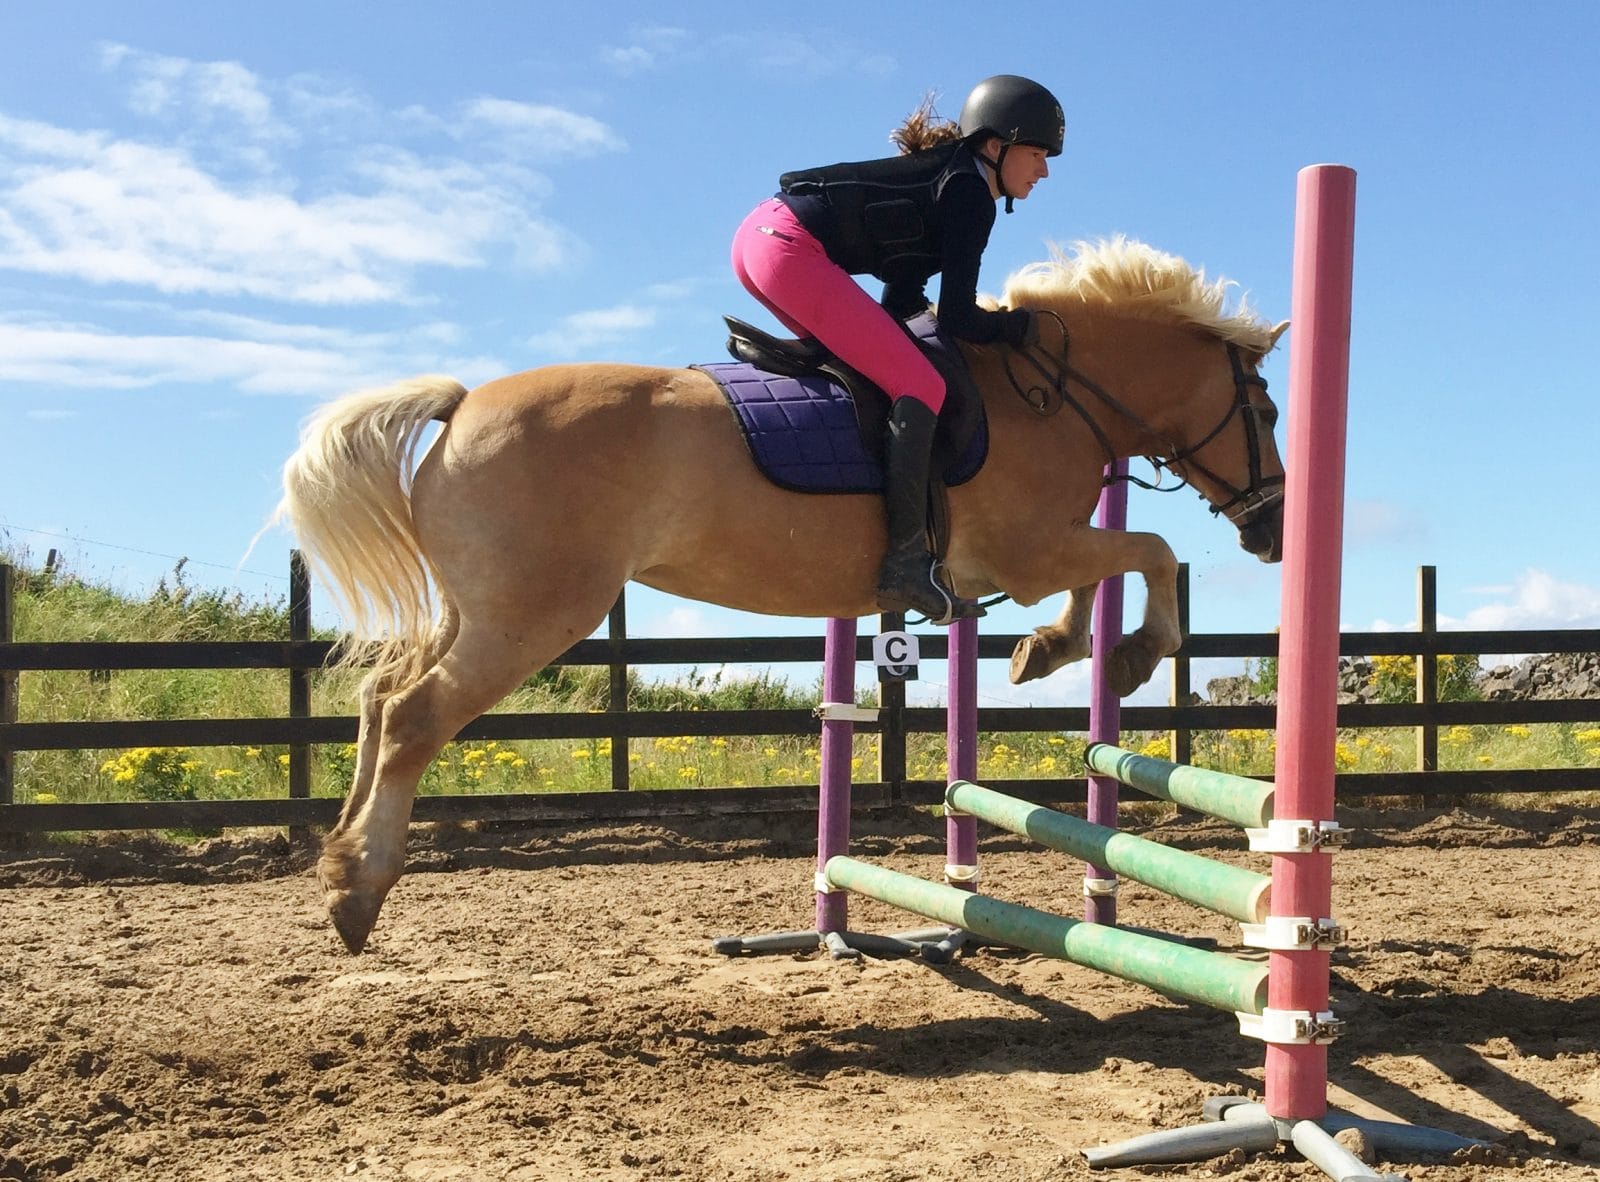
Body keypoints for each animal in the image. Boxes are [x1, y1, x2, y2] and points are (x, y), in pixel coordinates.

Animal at [278, 238, 1286, 953]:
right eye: (1270, 412)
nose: (1273, 531)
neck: (1052, 392)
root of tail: (460, 406)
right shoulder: (1032, 551)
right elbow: (1149, 551)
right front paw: (1128, 654)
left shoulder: (1029, 559)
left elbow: (1106, 574)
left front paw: (1052, 650)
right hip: (533, 616)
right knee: (414, 716)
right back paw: (359, 891)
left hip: (476, 610)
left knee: (377, 702)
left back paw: (337, 866)